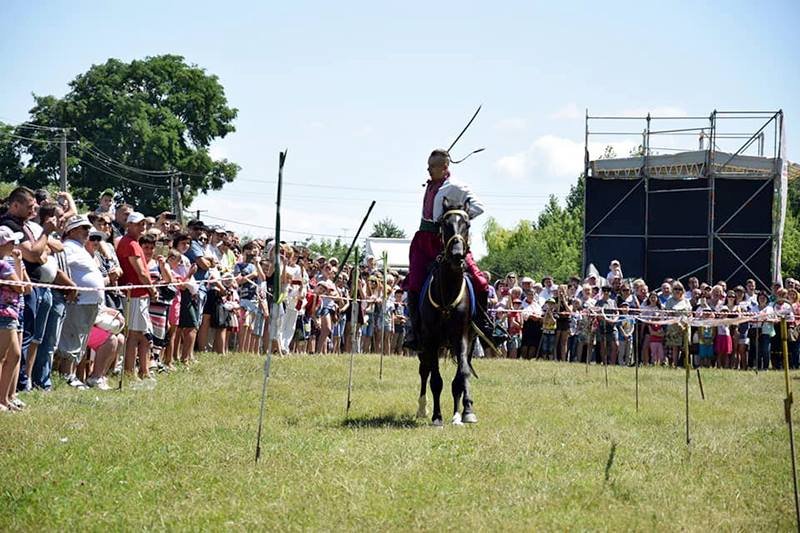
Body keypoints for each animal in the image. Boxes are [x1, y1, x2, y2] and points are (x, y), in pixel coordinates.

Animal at [416, 197, 478, 426]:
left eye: (466, 224)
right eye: (445, 224)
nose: (457, 254)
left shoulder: (462, 337)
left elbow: (462, 374)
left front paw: (466, 411)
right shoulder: (431, 339)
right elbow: (435, 379)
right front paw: (436, 416)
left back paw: (457, 413)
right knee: (424, 371)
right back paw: (422, 408)